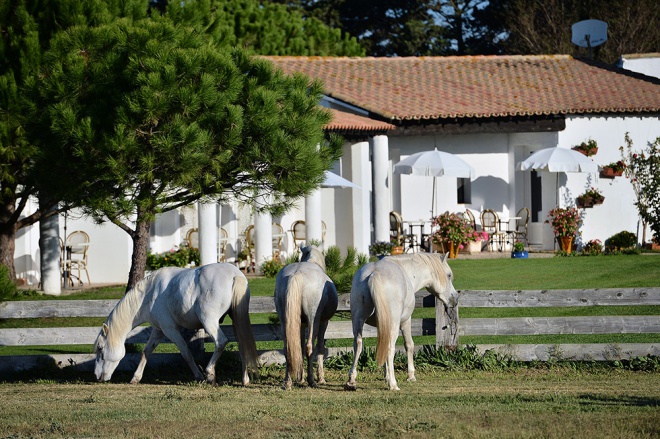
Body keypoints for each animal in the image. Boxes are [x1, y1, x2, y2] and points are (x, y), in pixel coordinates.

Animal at [93, 264, 258, 384]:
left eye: (101, 348)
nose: (97, 375)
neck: (149, 294)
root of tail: (235, 275)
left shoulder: (170, 330)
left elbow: (186, 353)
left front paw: (199, 376)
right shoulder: (158, 330)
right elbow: (146, 351)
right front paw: (136, 378)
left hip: (209, 322)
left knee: (221, 342)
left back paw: (210, 373)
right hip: (235, 318)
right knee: (242, 344)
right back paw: (245, 380)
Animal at [274, 246, 338, 390]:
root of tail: (296, 274)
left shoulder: (302, 325)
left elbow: (300, 348)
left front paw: (300, 378)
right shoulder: (323, 322)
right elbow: (319, 348)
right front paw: (321, 378)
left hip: (284, 321)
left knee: (288, 349)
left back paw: (288, 382)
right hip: (313, 320)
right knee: (310, 347)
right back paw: (311, 380)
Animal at [346, 253, 458, 390]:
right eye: (449, 275)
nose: (455, 299)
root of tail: (374, 274)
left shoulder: (382, 325)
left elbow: (382, 346)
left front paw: (386, 375)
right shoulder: (405, 321)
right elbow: (409, 345)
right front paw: (410, 376)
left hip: (358, 320)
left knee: (358, 344)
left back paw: (351, 380)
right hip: (394, 325)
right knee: (390, 348)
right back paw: (393, 385)